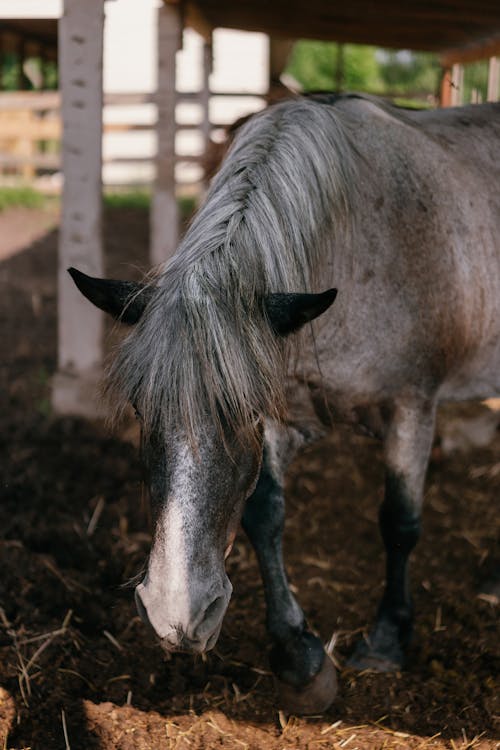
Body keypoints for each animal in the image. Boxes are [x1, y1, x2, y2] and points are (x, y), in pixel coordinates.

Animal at [69, 95, 500, 716]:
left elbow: (399, 521)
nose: (177, 615)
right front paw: (299, 657)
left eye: (242, 410)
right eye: (140, 409)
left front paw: (387, 640)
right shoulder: (286, 419)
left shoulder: (412, 408)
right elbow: (264, 514)